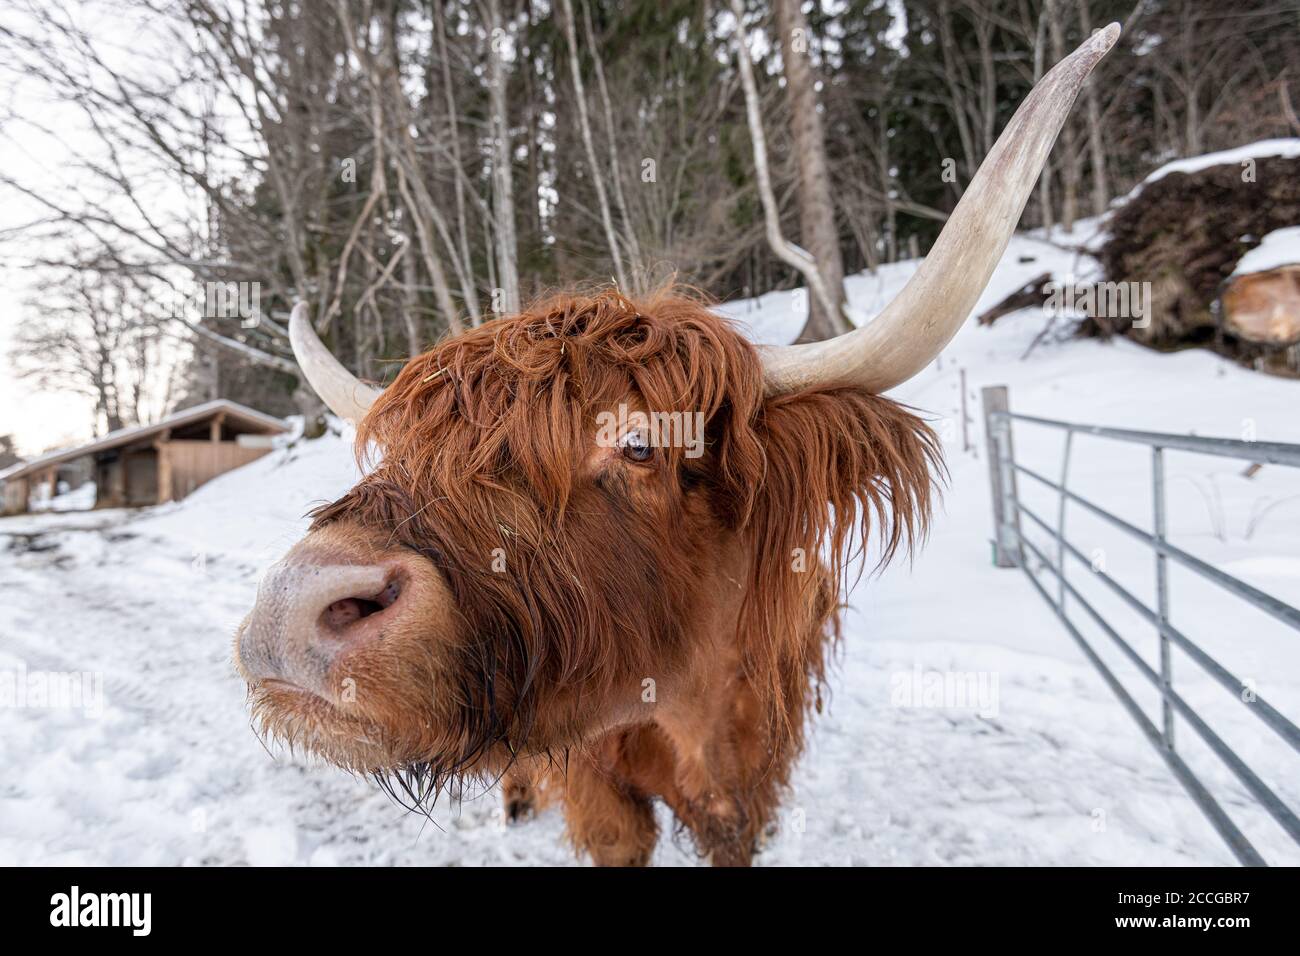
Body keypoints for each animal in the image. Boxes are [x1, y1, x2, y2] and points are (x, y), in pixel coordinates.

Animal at [234, 27, 1118, 866]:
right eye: (406, 448)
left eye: (638, 445)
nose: (290, 608)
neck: (693, 710)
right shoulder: (600, 786)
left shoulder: (754, 770)